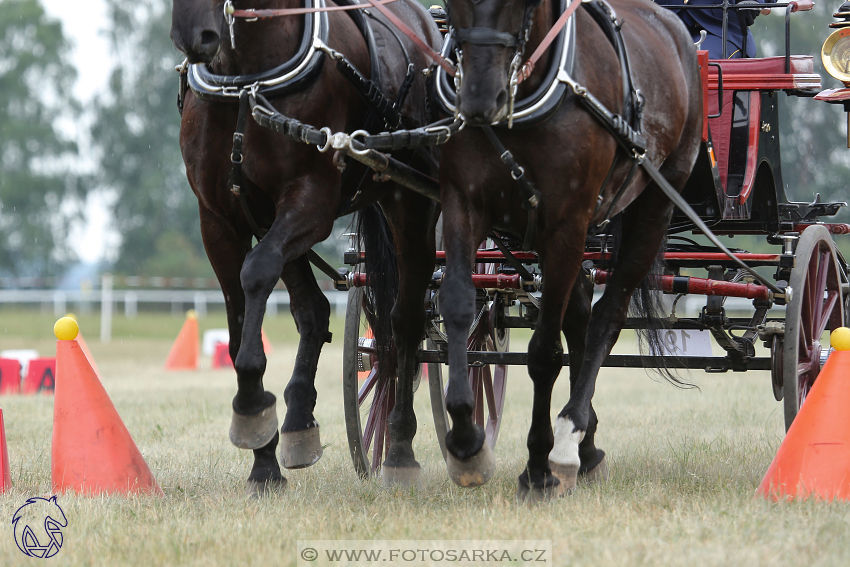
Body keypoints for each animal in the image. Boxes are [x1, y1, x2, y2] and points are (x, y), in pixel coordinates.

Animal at [170, 0, 440, 494]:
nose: (193, 35)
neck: (247, 80)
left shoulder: (311, 201)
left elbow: (257, 271)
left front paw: (252, 407)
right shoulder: (219, 219)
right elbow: (240, 312)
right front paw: (262, 454)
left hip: (412, 203)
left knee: (406, 322)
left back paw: (400, 449)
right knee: (314, 308)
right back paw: (297, 418)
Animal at [434, 0, 700, 500]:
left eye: (519, 5)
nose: (480, 101)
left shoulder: (565, 222)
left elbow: (544, 352)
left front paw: (538, 466)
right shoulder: (462, 201)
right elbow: (458, 306)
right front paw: (464, 441)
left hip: (654, 203)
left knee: (606, 318)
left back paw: (568, 437)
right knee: (579, 317)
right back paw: (585, 443)